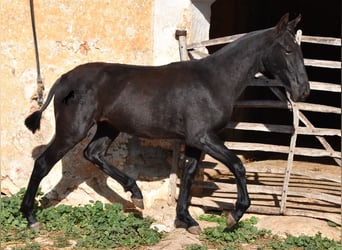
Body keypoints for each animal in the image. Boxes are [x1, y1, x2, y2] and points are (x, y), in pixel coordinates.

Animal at [21, 13, 310, 233]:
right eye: (287, 49)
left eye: (299, 50)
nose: (303, 91)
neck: (213, 81)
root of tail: (64, 79)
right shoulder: (203, 137)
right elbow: (237, 164)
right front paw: (234, 215)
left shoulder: (195, 141)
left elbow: (189, 174)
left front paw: (188, 220)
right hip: (72, 130)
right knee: (44, 163)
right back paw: (31, 217)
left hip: (108, 127)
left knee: (93, 153)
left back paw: (136, 195)